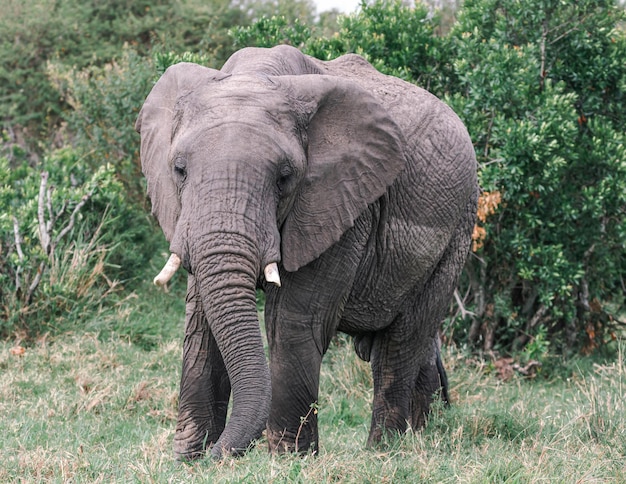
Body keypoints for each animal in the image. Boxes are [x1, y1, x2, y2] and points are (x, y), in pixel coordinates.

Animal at [135, 43, 478, 460]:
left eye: (285, 178)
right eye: (179, 169)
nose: (221, 453)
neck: (257, 74)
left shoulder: (341, 202)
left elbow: (291, 320)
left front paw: (286, 460)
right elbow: (201, 321)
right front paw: (189, 459)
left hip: (459, 227)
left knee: (402, 341)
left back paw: (385, 451)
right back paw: (419, 439)